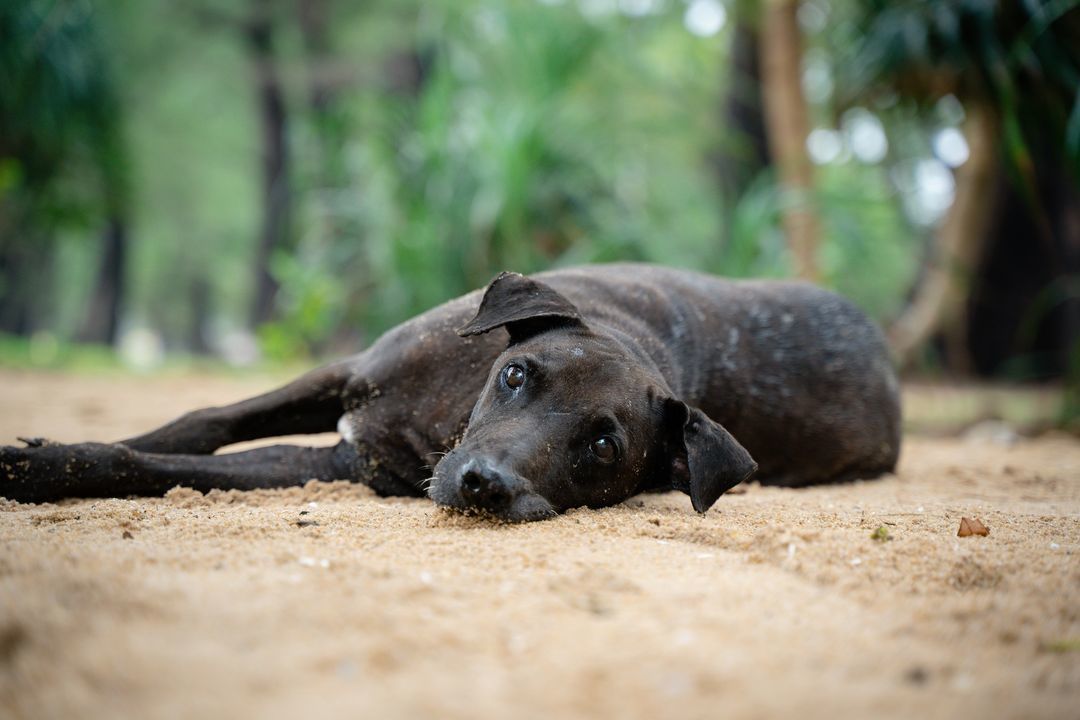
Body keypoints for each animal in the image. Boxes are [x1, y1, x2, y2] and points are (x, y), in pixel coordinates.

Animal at [0, 263, 902, 518]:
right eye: (516, 374)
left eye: (603, 444)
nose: (481, 484)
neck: (446, 413)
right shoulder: (346, 374)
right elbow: (200, 422)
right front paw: (43, 450)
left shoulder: (340, 466)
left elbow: (155, 466)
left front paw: (35, 468)